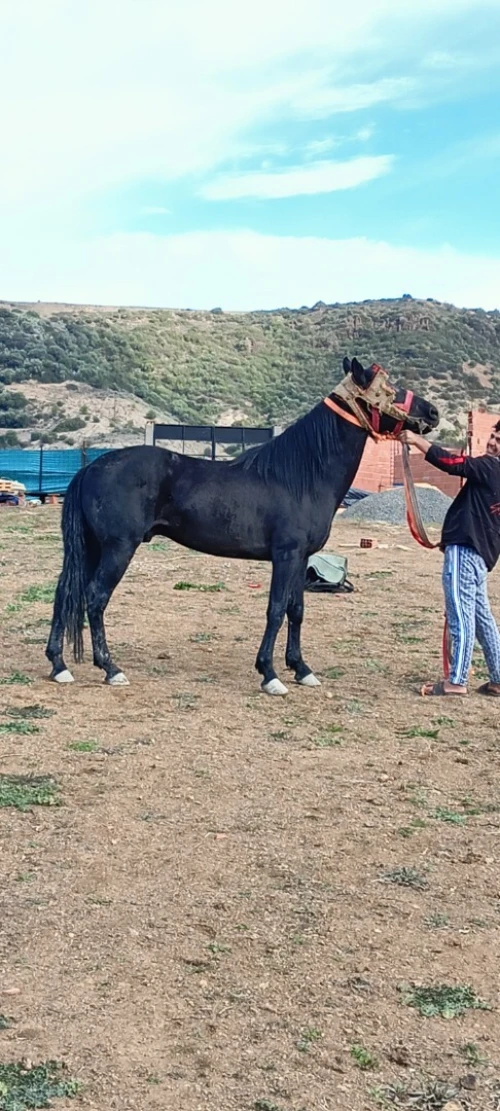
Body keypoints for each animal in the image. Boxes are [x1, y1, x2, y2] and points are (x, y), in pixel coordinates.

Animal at [46, 357, 439, 695]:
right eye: (388, 388)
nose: (432, 412)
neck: (303, 474)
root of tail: (91, 468)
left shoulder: (301, 558)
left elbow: (296, 610)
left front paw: (301, 669)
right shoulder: (285, 555)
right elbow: (276, 610)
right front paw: (270, 674)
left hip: (93, 548)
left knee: (66, 594)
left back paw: (59, 665)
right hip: (118, 548)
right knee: (95, 598)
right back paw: (110, 668)